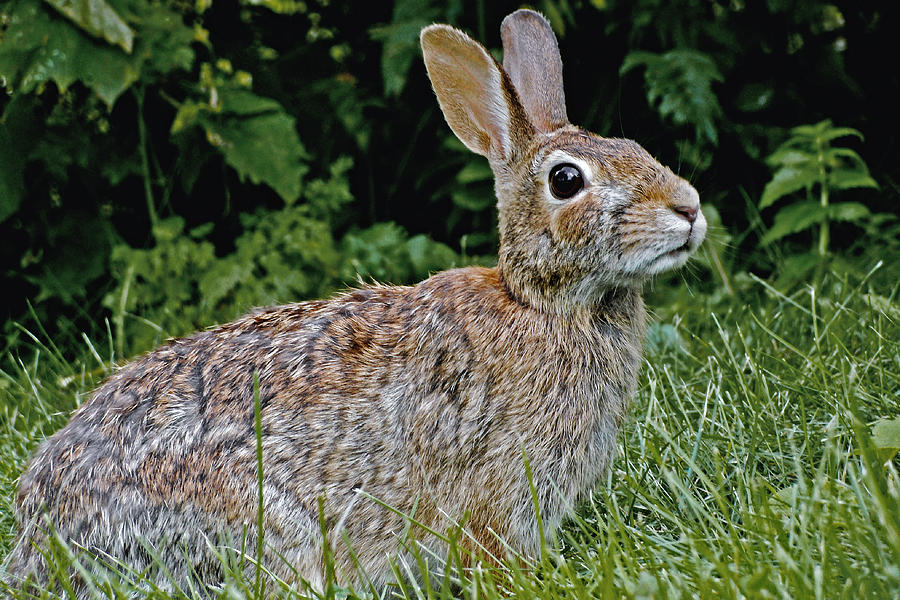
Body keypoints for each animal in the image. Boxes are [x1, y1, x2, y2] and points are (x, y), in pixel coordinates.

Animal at [7, 8, 708, 596]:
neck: (542, 303)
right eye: (567, 181)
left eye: (635, 149)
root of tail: (40, 544)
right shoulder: (501, 490)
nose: (690, 208)